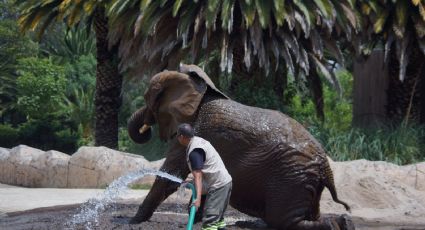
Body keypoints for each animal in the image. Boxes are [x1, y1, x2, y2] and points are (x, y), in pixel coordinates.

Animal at [126, 63, 352, 229]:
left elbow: (169, 176)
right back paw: (343, 222)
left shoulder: (193, 132)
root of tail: (326, 167)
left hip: (291, 179)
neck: (202, 89)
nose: (146, 128)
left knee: (284, 221)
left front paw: (133, 221)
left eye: (148, 99)